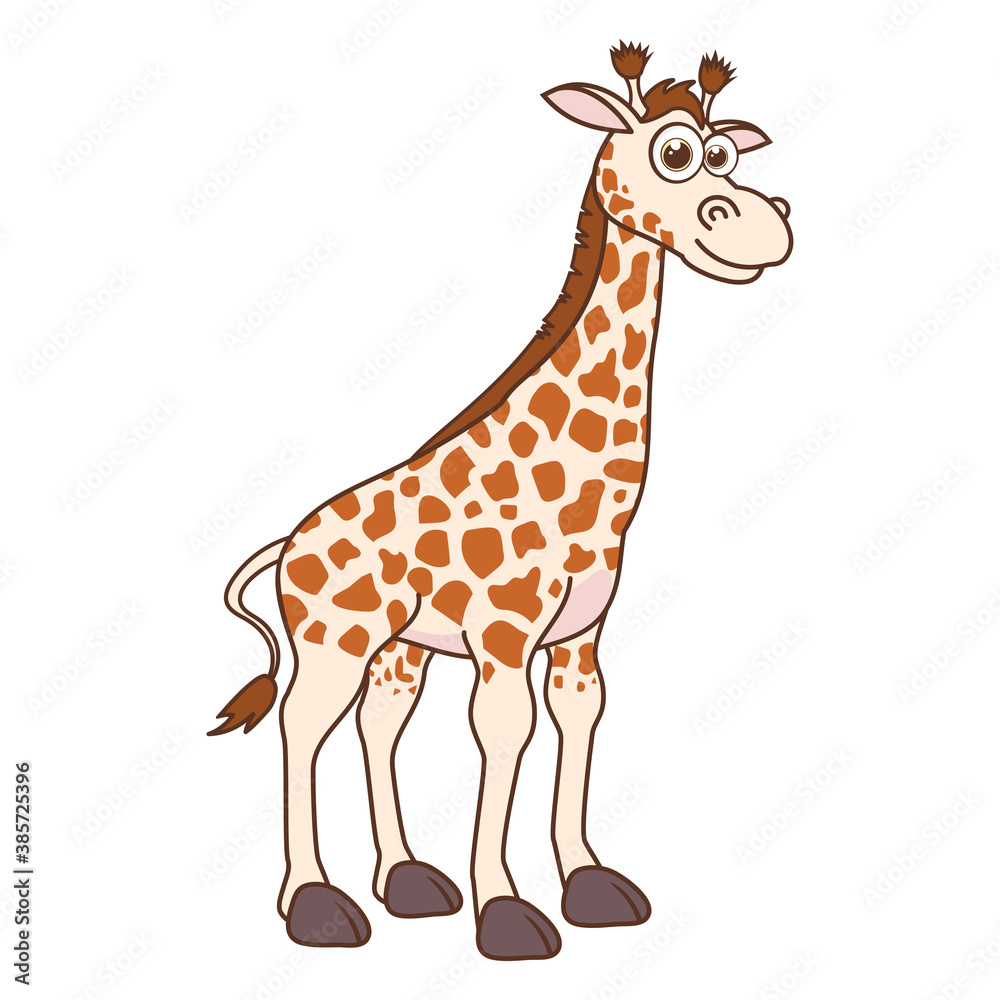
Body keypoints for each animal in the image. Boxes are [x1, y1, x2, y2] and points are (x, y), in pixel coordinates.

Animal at [210, 42, 792, 960]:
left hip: (398, 650)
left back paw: (407, 882)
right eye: (675, 154)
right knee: (301, 727)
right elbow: (504, 735)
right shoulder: (504, 637)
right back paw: (317, 905)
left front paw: (589, 885)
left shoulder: (579, 638)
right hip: (334, 640)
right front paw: (507, 913)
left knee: (379, 726)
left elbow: (577, 726)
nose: (772, 222)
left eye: (727, 153)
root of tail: (287, 544)